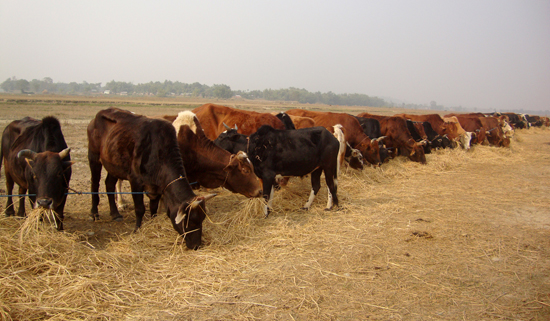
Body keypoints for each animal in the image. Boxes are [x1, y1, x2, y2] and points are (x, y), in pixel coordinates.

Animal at [87, 107, 217, 250]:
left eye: (202, 219)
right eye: (191, 222)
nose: (196, 246)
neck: (158, 152)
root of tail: (97, 116)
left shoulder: (156, 188)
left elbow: (153, 209)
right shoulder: (135, 182)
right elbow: (140, 209)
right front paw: (137, 229)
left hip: (114, 166)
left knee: (109, 184)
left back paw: (115, 214)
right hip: (94, 157)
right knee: (95, 183)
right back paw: (94, 213)